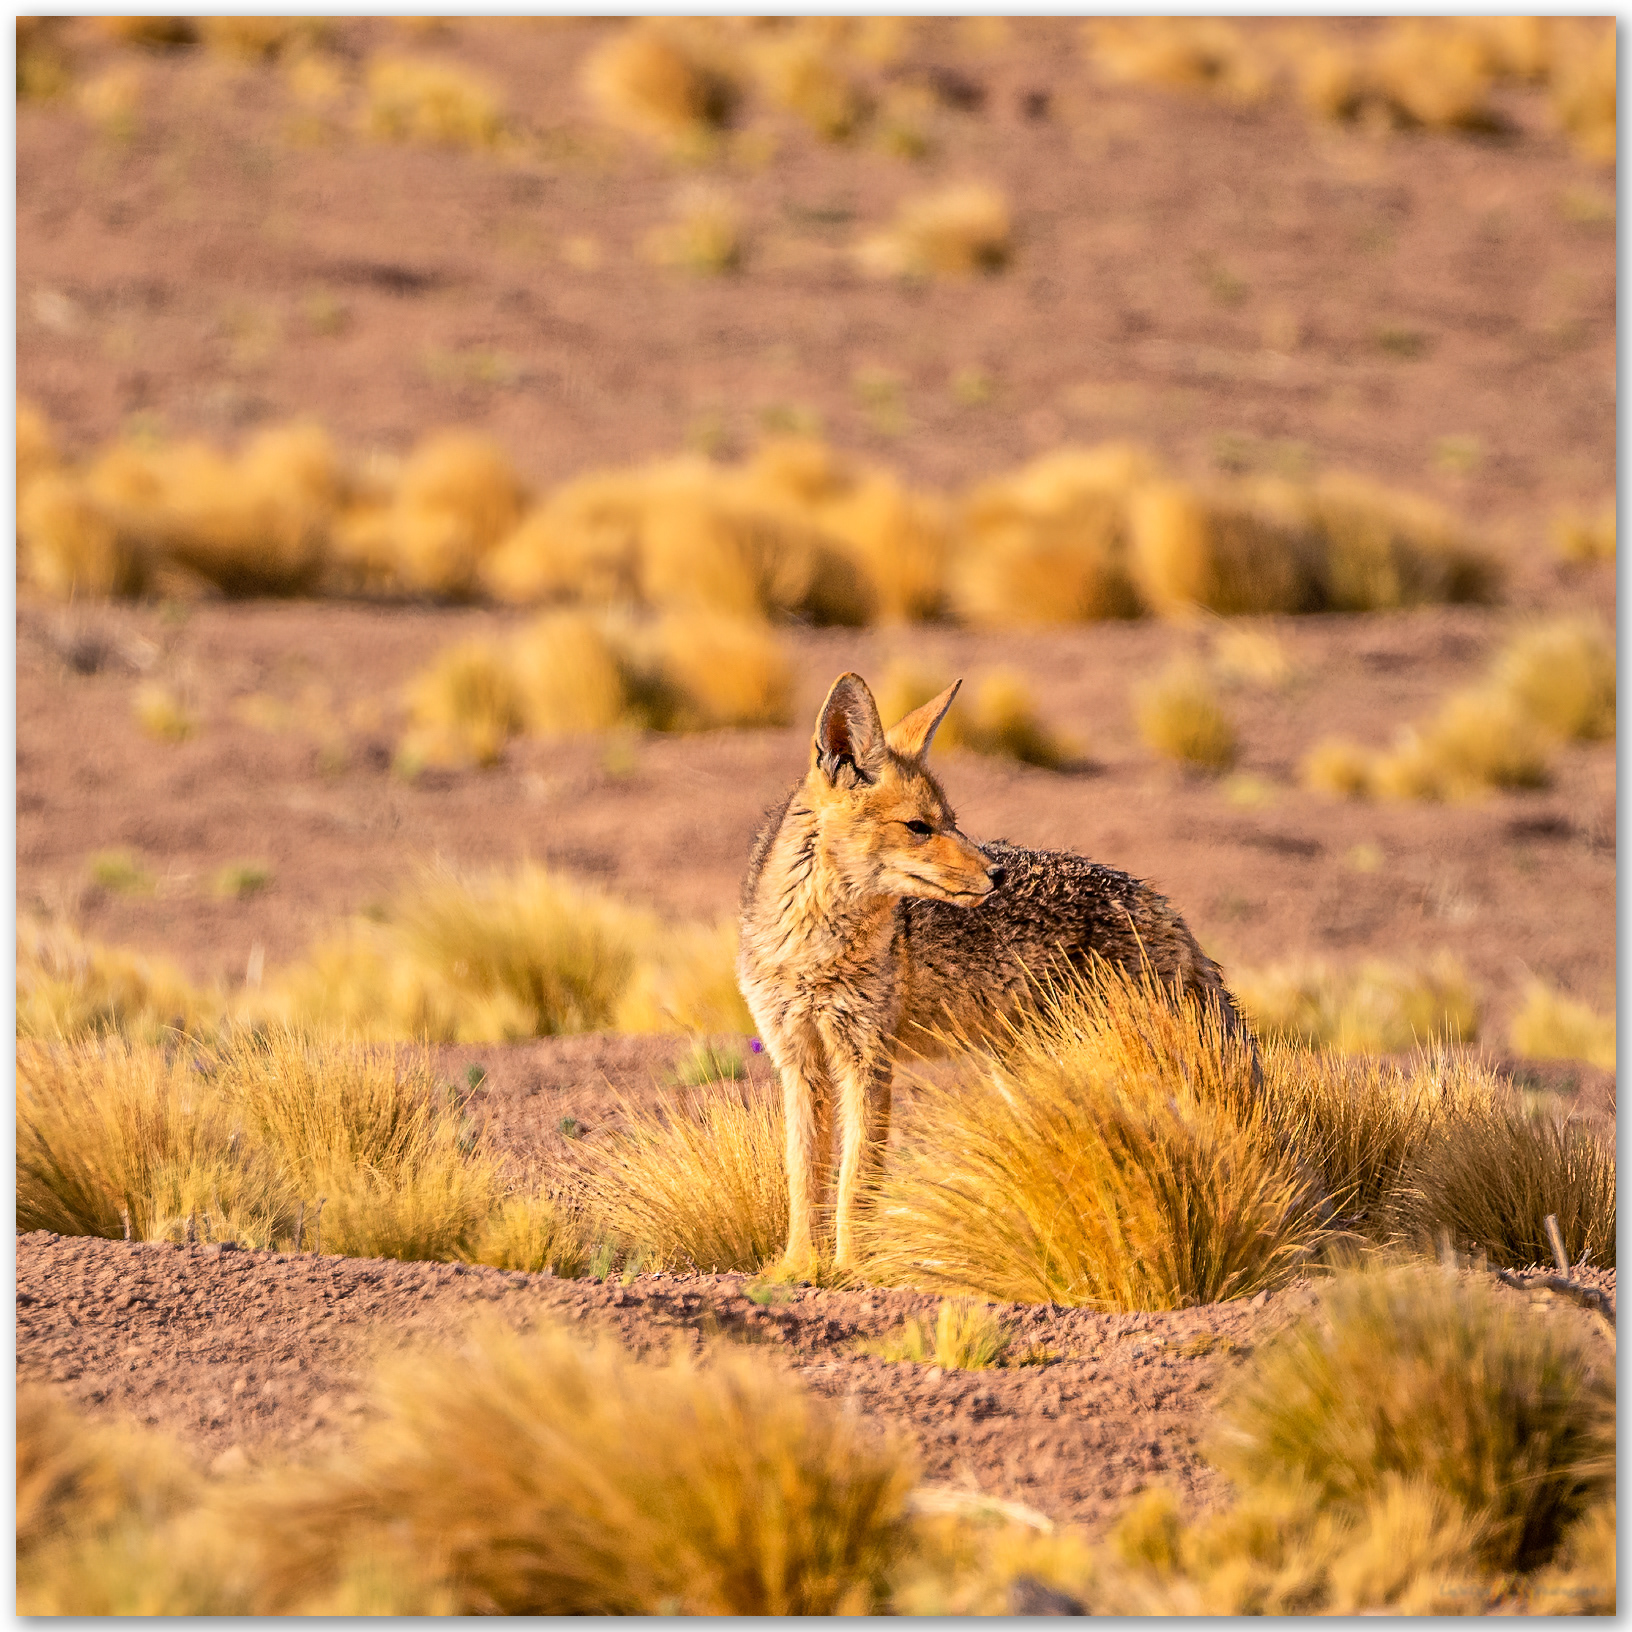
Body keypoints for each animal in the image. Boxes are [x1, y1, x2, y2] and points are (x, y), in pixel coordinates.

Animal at [736, 669, 1255, 1280]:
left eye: (952, 823)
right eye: (919, 827)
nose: (997, 874)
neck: (812, 950)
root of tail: (1159, 902)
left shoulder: (868, 1059)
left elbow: (856, 1182)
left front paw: (854, 1269)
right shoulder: (798, 1061)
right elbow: (803, 1176)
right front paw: (797, 1267)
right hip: (1023, 1069)